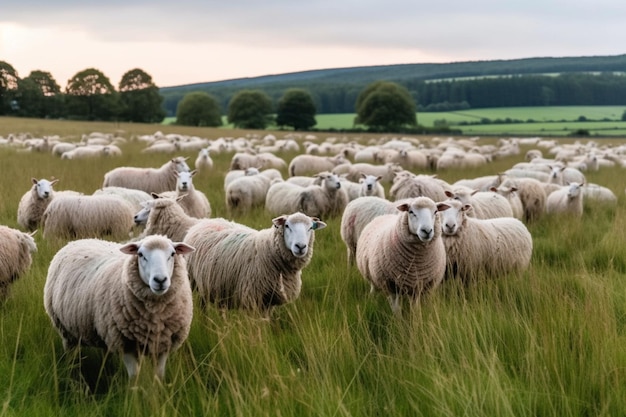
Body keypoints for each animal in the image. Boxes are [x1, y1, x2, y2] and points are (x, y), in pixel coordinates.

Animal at [43, 232, 194, 378]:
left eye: (172, 254)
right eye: (140, 254)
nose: (160, 280)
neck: (154, 314)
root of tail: (79, 240)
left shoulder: (163, 345)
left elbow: (159, 376)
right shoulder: (125, 344)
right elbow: (134, 376)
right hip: (65, 331)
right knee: (71, 355)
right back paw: (72, 373)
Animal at [183, 213, 326, 314]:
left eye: (310, 228)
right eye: (287, 226)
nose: (300, 246)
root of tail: (203, 221)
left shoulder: (269, 301)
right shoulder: (253, 298)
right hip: (192, 281)